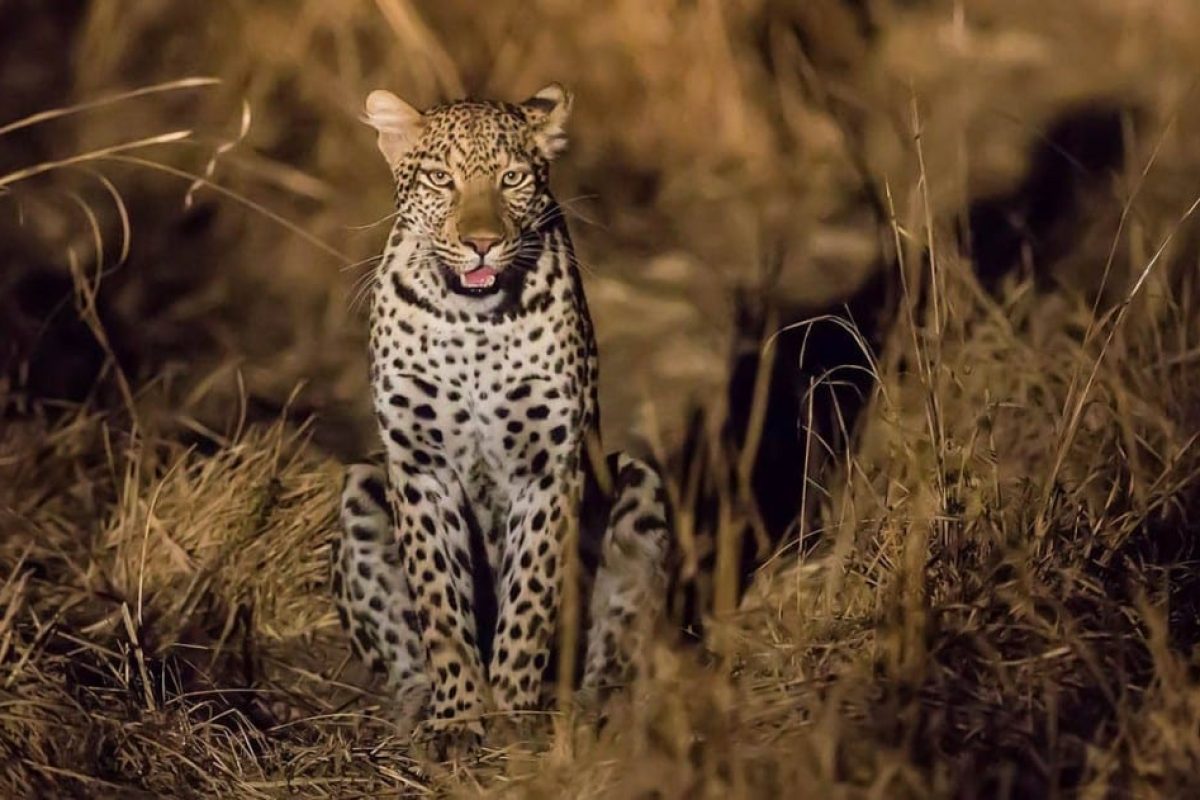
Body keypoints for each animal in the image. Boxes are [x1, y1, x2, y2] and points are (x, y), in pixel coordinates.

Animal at [329, 83, 671, 751]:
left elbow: (530, 599)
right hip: (361, 487)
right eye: (441, 178)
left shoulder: (549, 469)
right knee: (400, 654)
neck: (472, 322)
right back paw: (414, 710)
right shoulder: (420, 467)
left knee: (616, 645)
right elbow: (439, 604)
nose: (482, 242)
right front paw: (459, 715)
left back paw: (593, 709)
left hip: (638, 484)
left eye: (512, 178)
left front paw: (512, 713)